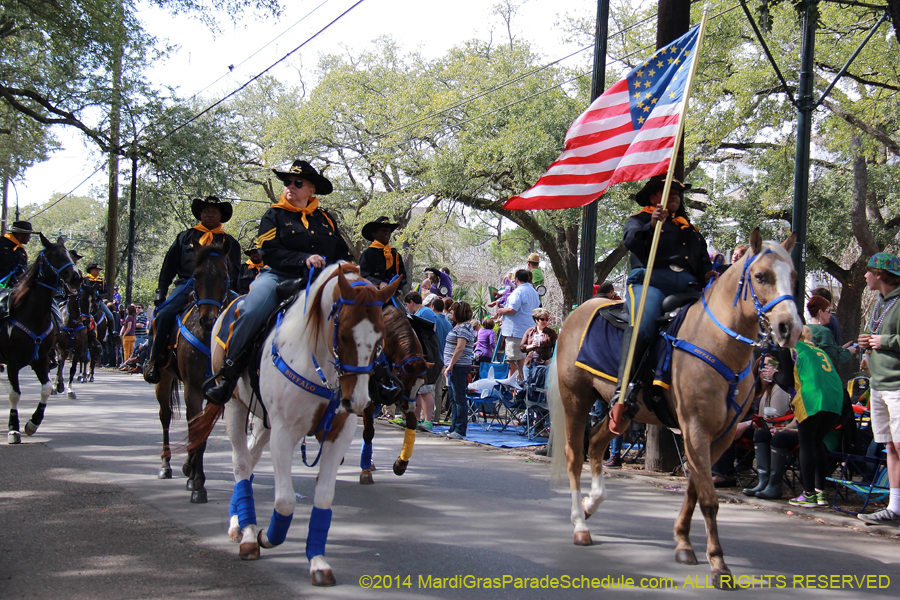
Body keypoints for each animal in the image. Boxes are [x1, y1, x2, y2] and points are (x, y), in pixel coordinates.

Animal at [0, 237, 82, 442]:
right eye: (54, 255)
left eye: (69, 255)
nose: (77, 277)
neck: (31, 314)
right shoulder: (12, 361)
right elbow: (14, 394)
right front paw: (13, 429)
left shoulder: (41, 359)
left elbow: (45, 389)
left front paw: (33, 423)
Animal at [156, 241, 232, 504]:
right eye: (196, 276)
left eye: (224, 276)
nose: (208, 319)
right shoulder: (193, 388)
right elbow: (195, 429)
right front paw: (198, 485)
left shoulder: (215, 393)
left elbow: (202, 433)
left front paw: (195, 477)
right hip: (163, 378)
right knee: (165, 417)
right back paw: (166, 465)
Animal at [192, 262, 400, 584]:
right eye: (343, 336)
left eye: (380, 340)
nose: (358, 402)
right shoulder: (284, 433)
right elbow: (285, 501)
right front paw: (266, 537)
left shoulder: (338, 435)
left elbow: (324, 498)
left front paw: (318, 562)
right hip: (234, 407)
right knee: (241, 464)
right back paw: (246, 532)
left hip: (263, 422)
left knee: (250, 459)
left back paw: (240, 521)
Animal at [548, 230, 800, 584]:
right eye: (761, 276)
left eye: (793, 276)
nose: (790, 328)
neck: (718, 343)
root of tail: (576, 312)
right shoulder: (695, 428)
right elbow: (708, 497)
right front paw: (718, 563)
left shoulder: (720, 435)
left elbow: (696, 487)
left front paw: (683, 543)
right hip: (576, 397)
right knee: (574, 455)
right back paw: (580, 525)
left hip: (622, 412)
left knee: (596, 443)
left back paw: (590, 504)